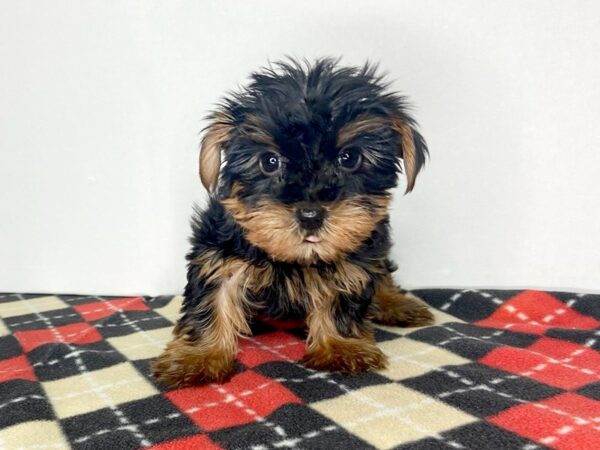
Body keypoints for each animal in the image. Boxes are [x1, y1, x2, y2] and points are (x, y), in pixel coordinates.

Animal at [152, 58, 434, 388]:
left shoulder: (354, 257)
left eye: (349, 158)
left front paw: (341, 347)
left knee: (382, 271)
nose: (310, 214)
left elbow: (343, 290)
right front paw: (197, 357)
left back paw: (396, 303)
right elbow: (212, 298)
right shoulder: (218, 251)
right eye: (269, 161)